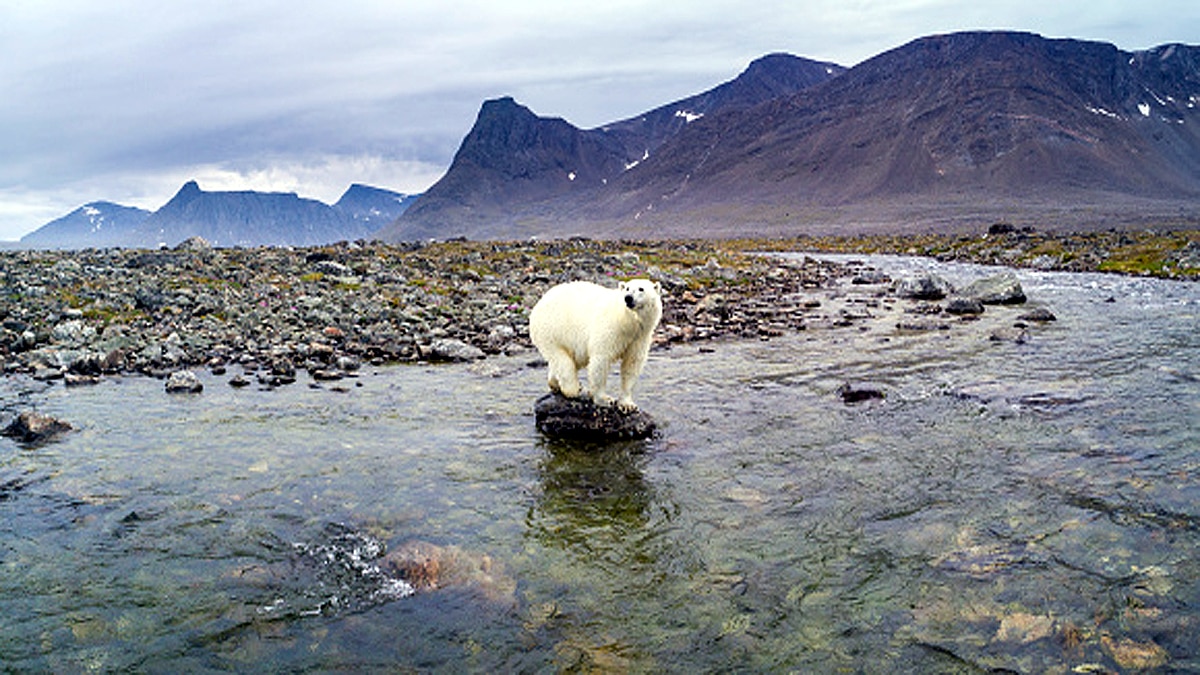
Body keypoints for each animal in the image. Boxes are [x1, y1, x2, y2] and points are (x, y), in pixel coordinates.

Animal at [529, 278, 663, 412]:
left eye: (641, 289)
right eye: (627, 288)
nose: (628, 298)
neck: (628, 322)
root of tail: (540, 302)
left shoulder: (639, 338)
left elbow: (632, 364)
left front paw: (627, 404)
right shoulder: (610, 329)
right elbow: (601, 360)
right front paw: (605, 399)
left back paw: (555, 383)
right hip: (553, 331)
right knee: (562, 360)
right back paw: (576, 389)